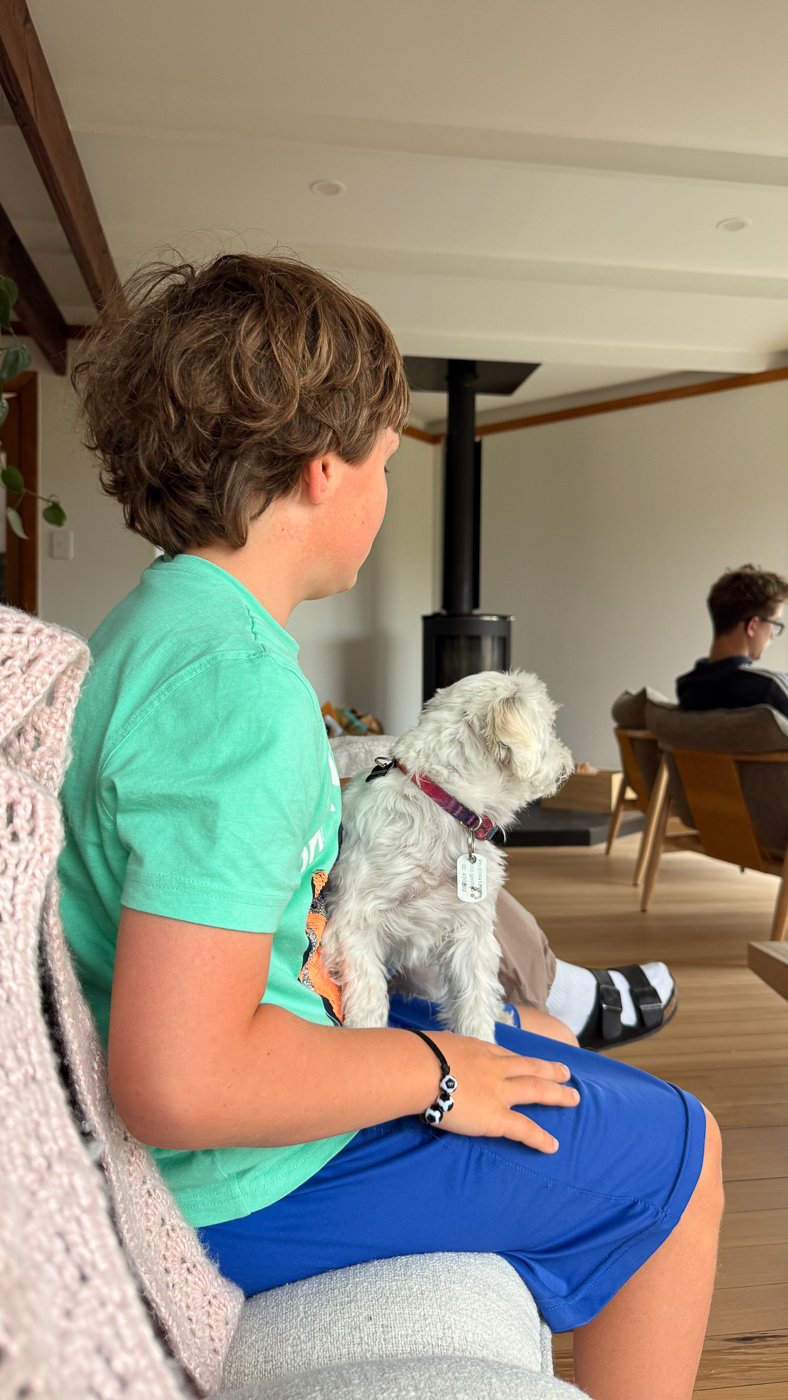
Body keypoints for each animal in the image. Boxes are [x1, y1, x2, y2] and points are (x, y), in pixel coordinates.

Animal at [322, 670, 573, 1042]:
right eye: (550, 725)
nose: (568, 761)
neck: (444, 803)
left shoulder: (471, 930)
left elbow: (474, 1000)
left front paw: (481, 1043)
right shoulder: (355, 921)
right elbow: (369, 996)